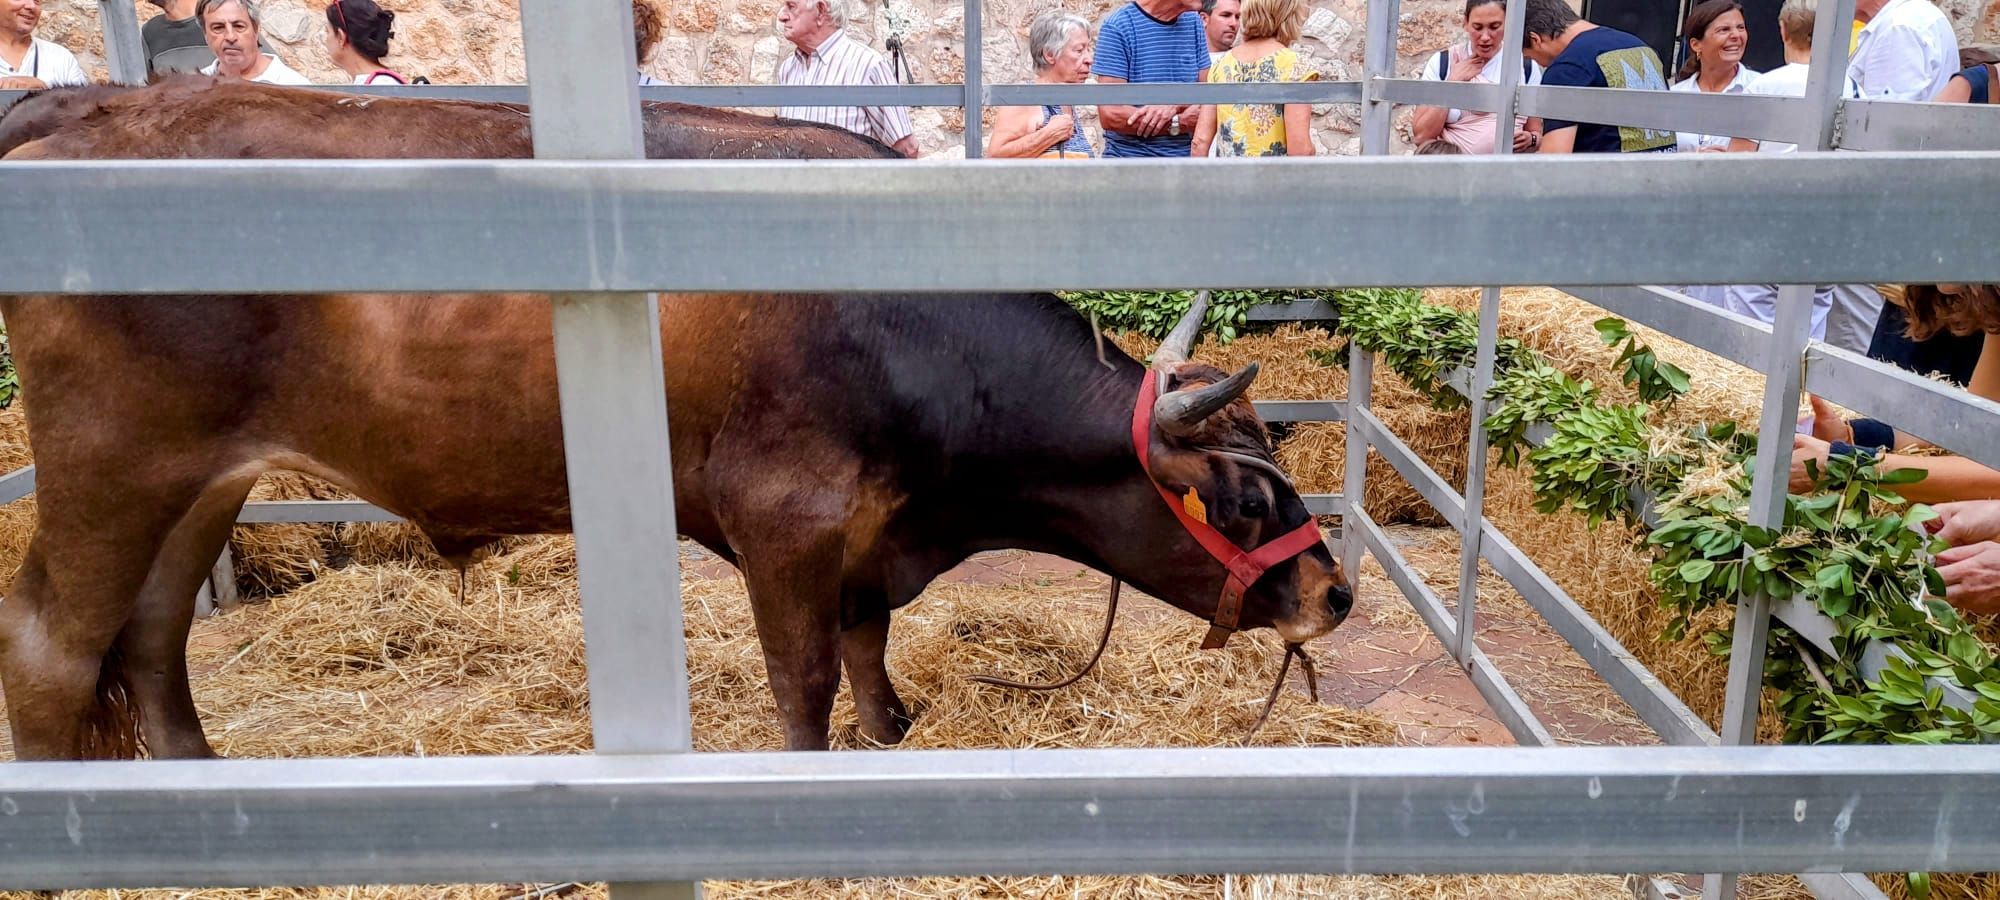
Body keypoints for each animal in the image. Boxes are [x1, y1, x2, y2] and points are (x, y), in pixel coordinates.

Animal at [0, 82, 1352, 760]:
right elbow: (806, 675)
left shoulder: (866, 534)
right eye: (1243, 498)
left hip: (201, 479)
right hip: (112, 458)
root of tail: (83, 106)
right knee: (53, 648)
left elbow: (869, 649)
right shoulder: (785, 519)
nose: (1335, 595)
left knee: (149, 636)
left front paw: (893, 734)